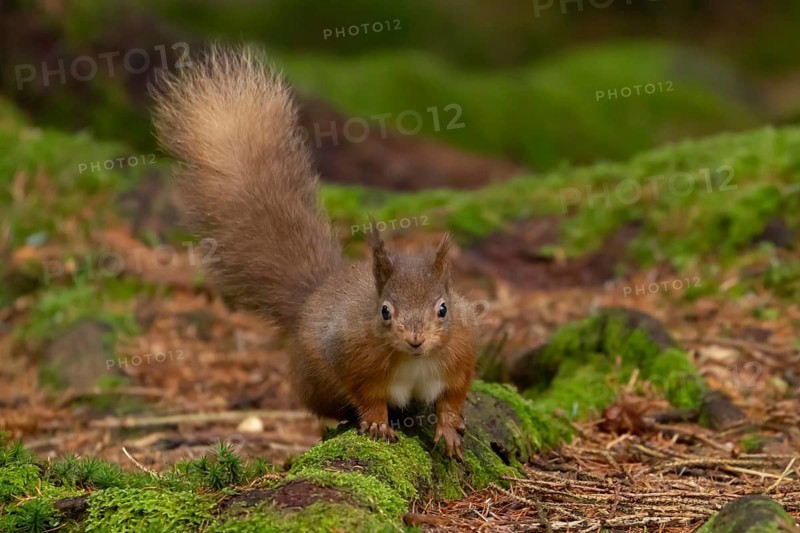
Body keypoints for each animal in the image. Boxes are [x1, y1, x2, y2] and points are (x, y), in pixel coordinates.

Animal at [151, 46, 477, 459]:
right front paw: (376, 423)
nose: (416, 340)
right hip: (315, 380)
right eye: (385, 311)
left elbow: (453, 397)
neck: (414, 360)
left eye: (443, 309)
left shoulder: (460, 355)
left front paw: (449, 429)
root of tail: (313, 297)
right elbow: (368, 396)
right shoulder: (352, 357)